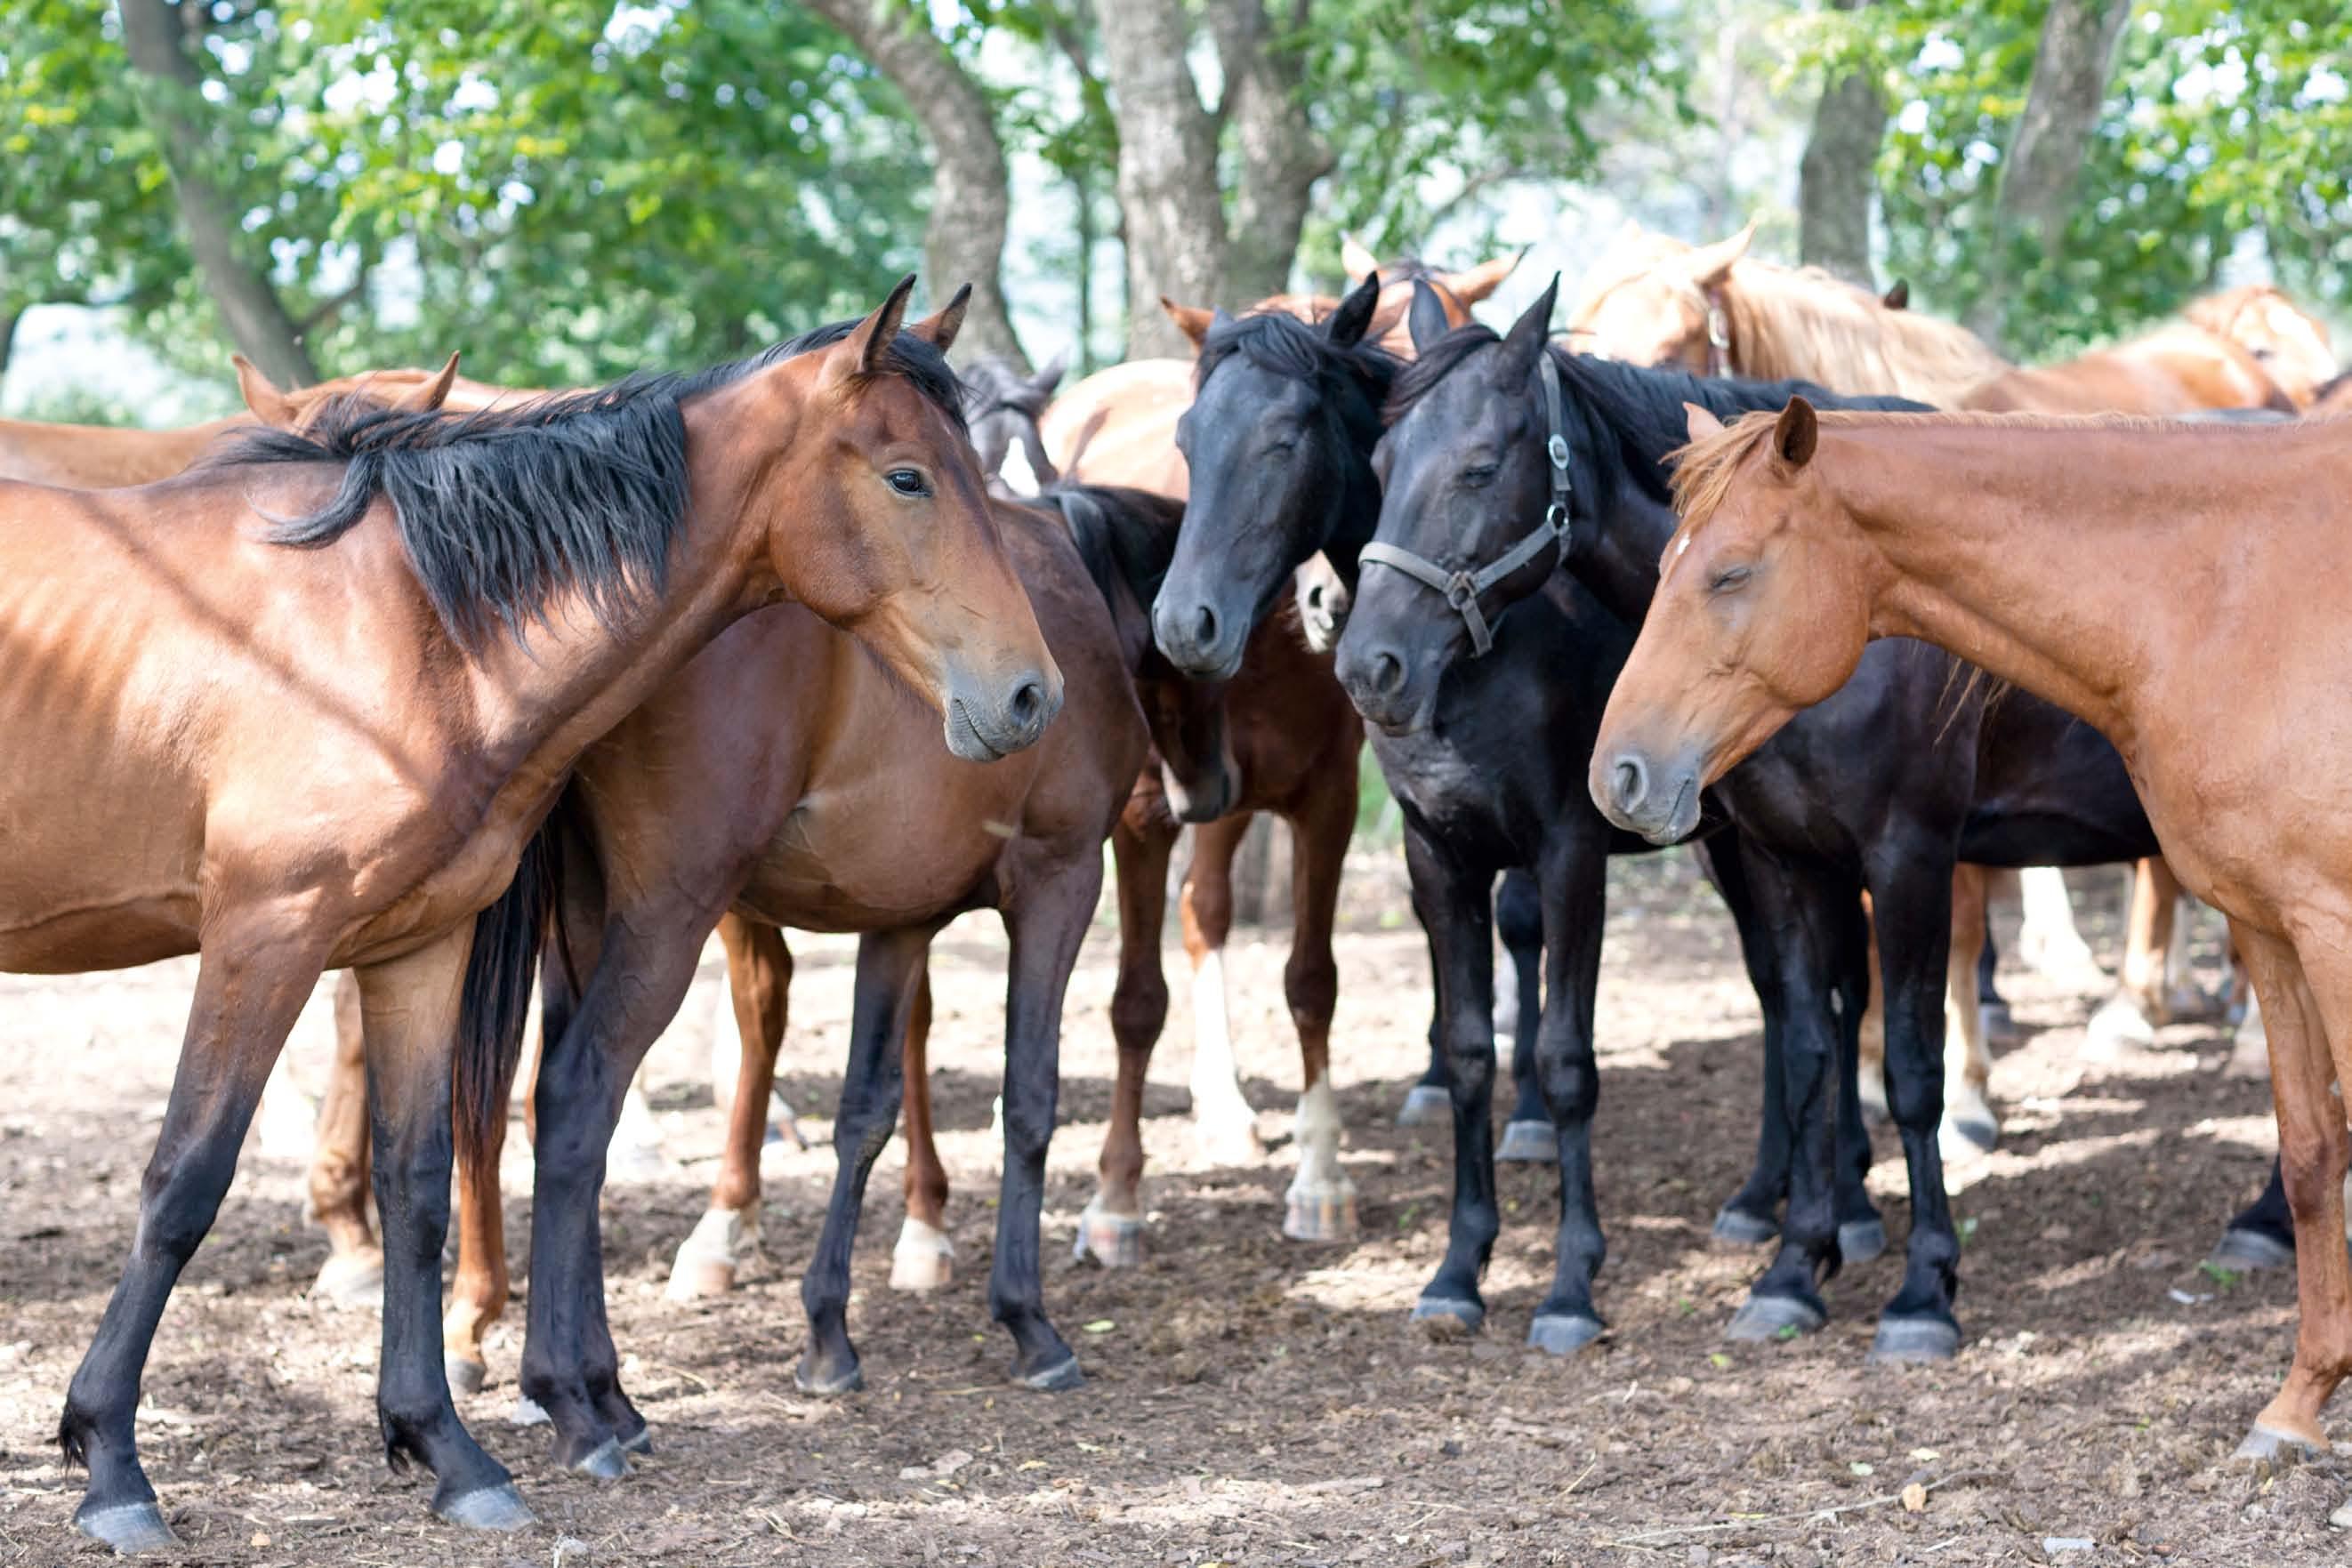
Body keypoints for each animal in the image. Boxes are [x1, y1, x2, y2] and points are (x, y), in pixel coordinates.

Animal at [3, 277, 1056, 1552]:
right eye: (909, 476)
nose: (1030, 693)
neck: (403, 623)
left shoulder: (415, 943)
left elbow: (417, 1185)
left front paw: (445, 1446)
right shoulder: (265, 936)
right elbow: (185, 1181)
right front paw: (110, 1460)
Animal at [1346, 279, 2167, 1360]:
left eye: (1479, 464)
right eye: (1379, 465)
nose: (1370, 664)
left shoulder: (1907, 855)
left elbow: (1911, 1066)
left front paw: (1923, 1289)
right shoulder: (1788, 857)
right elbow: (1810, 1045)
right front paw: (1792, 1267)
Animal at [1592, 396, 2352, 1524]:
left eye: (1730, 572)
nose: (1617, 774)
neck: (2231, 594)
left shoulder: (2331, 926)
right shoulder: (2273, 928)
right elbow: (2309, 1158)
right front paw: (2296, 1407)